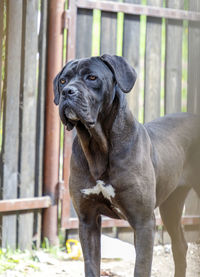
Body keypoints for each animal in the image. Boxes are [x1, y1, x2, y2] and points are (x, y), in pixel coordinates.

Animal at [53, 54, 200, 276]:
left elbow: (141, 267)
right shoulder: (87, 221)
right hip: (171, 205)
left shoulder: (144, 222)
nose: (67, 92)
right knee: (180, 245)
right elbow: (91, 266)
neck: (99, 146)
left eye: (92, 77)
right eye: (63, 80)